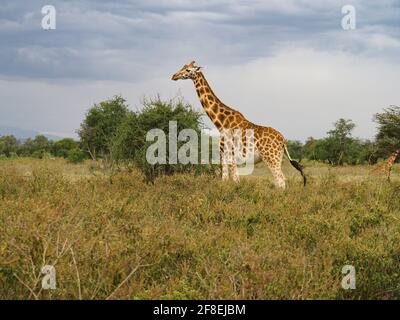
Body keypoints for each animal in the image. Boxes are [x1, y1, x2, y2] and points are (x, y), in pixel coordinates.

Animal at [170, 60, 306, 188]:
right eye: (183, 67)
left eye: (188, 70)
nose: (174, 76)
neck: (221, 122)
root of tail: (283, 141)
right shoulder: (223, 156)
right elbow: (225, 180)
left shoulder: (231, 156)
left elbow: (236, 181)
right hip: (277, 158)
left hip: (271, 158)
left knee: (281, 180)